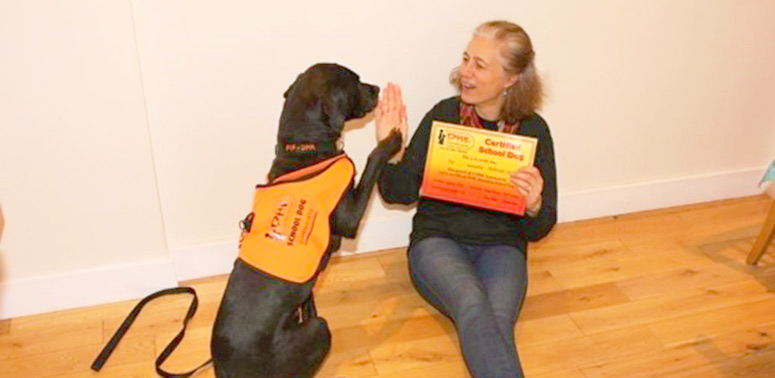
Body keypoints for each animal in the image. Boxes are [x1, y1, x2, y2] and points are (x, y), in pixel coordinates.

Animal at [212, 63, 404, 376]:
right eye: (355, 81)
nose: (376, 89)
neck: (306, 147)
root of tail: (228, 368)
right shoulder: (350, 217)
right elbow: (371, 162)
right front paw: (391, 140)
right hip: (319, 330)